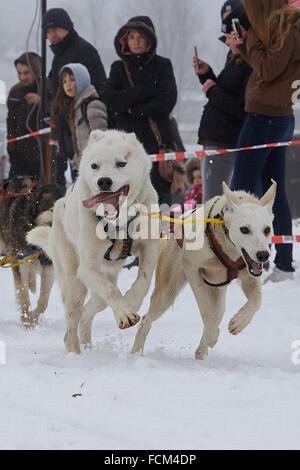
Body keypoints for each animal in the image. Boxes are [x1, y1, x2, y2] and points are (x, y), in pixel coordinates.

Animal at [27, 129, 161, 352]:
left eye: (121, 163)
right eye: (94, 166)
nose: (104, 181)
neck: (117, 223)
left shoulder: (150, 247)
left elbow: (144, 280)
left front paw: (131, 301)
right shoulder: (87, 268)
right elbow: (112, 291)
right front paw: (125, 313)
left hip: (99, 290)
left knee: (88, 313)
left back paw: (88, 345)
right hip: (75, 285)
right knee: (72, 326)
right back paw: (76, 354)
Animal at [132, 180, 278, 360]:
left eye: (267, 230)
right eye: (244, 229)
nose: (263, 255)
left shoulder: (251, 277)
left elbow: (256, 301)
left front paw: (240, 321)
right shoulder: (191, 267)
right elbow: (207, 311)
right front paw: (213, 334)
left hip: (218, 296)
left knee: (217, 313)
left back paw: (201, 352)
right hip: (166, 293)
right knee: (146, 320)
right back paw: (135, 351)